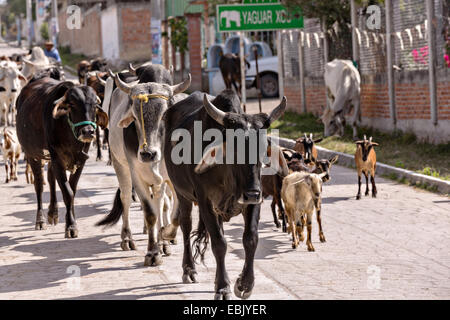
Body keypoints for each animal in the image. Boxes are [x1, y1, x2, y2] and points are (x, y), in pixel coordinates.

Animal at [162, 89, 286, 298]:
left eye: (263, 149)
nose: (252, 193)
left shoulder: (253, 202)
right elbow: (219, 243)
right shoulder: (205, 203)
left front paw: (245, 284)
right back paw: (189, 269)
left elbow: (251, 239)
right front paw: (222, 286)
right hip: (182, 193)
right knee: (186, 225)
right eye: (235, 149)